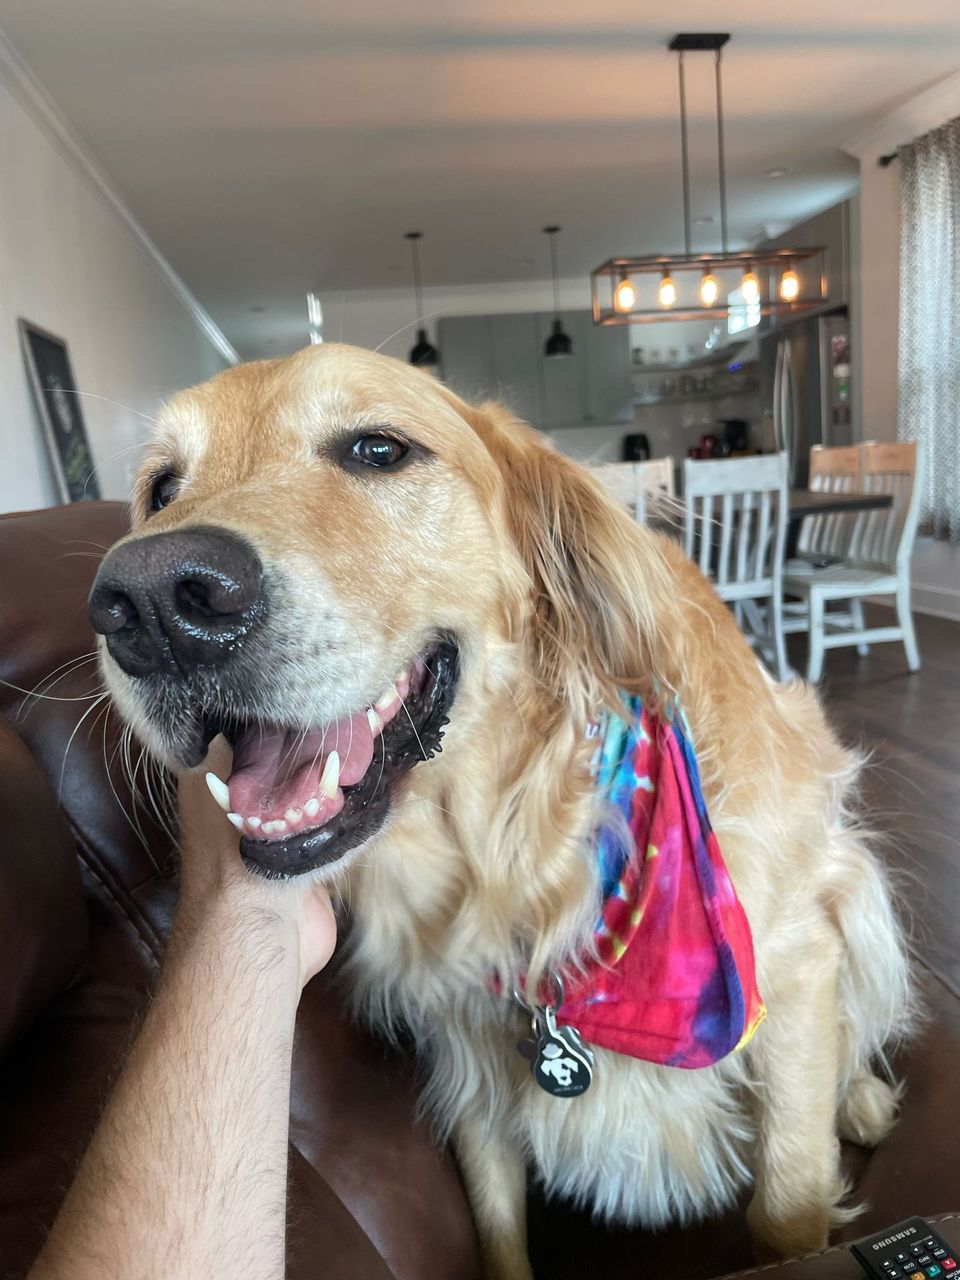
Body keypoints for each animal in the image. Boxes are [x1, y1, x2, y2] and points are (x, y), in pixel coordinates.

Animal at [89, 343, 911, 1280]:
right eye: (161, 489)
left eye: (378, 450)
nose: (149, 601)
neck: (517, 861)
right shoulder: (466, 1043)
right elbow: (494, 1214)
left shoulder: (796, 966)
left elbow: (787, 1194)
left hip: (854, 884)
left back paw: (863, 1098)